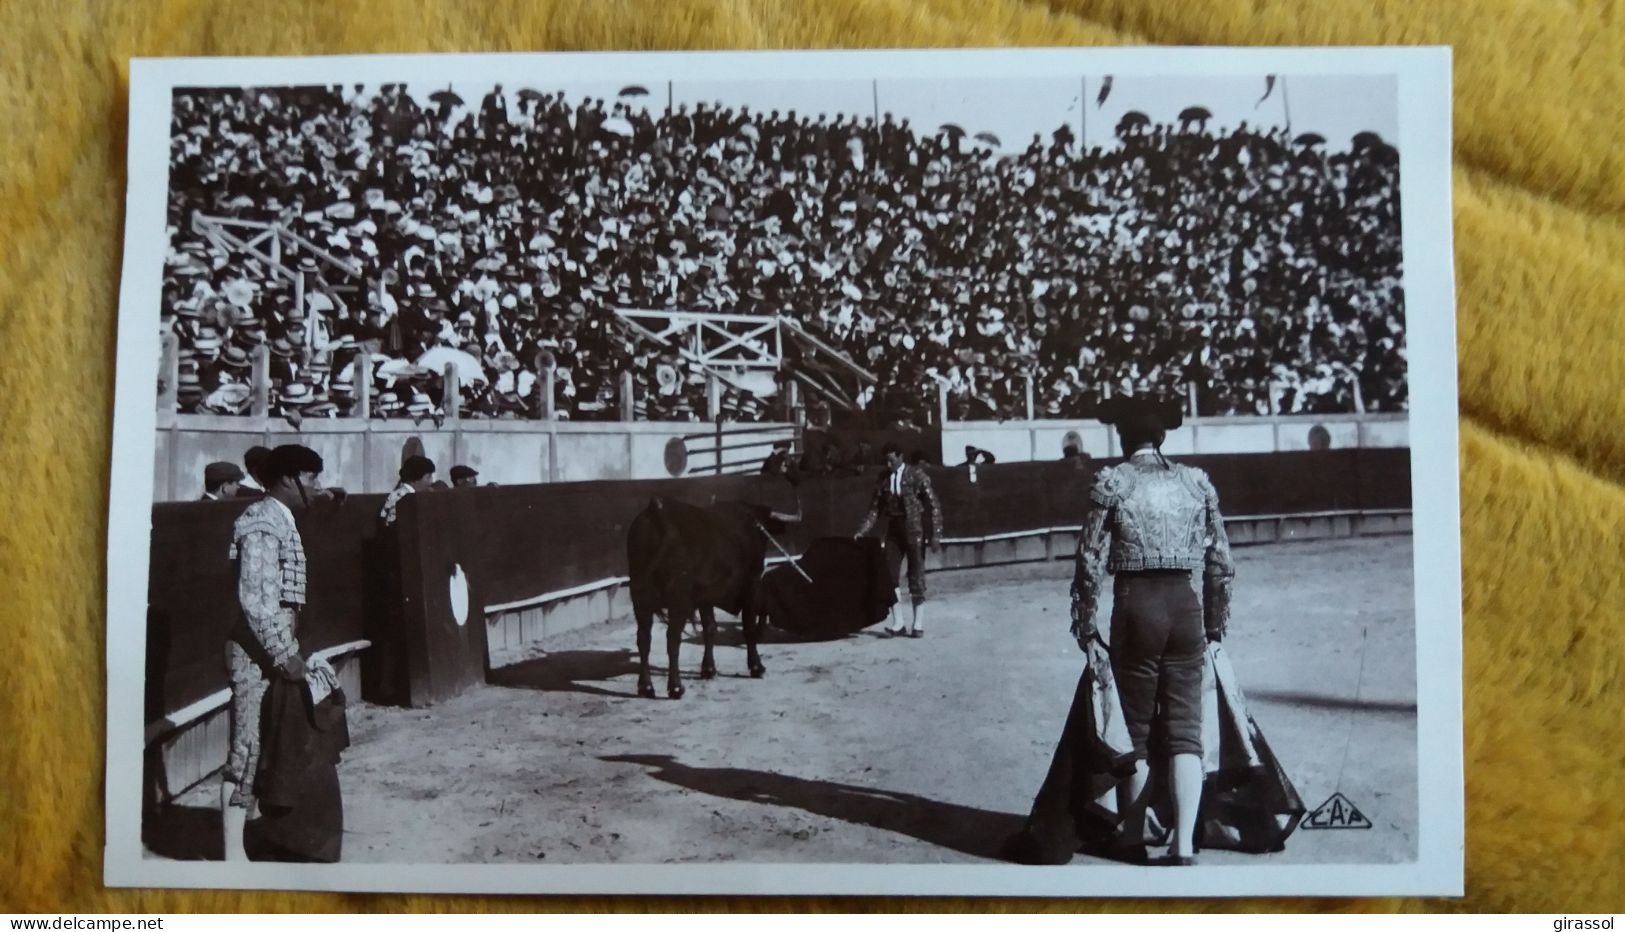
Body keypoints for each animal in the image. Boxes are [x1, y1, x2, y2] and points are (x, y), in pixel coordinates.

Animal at [620, 480, 799, 701]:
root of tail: (657, 512)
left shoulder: (706, 596)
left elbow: (710, 628)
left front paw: (708, 670)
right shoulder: (751, 586)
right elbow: (748, 628)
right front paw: (757, 667)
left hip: (640, 596)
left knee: (644, 639)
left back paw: (646, 687)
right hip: (678, 598)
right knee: (672, 639)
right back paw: (676, 688)